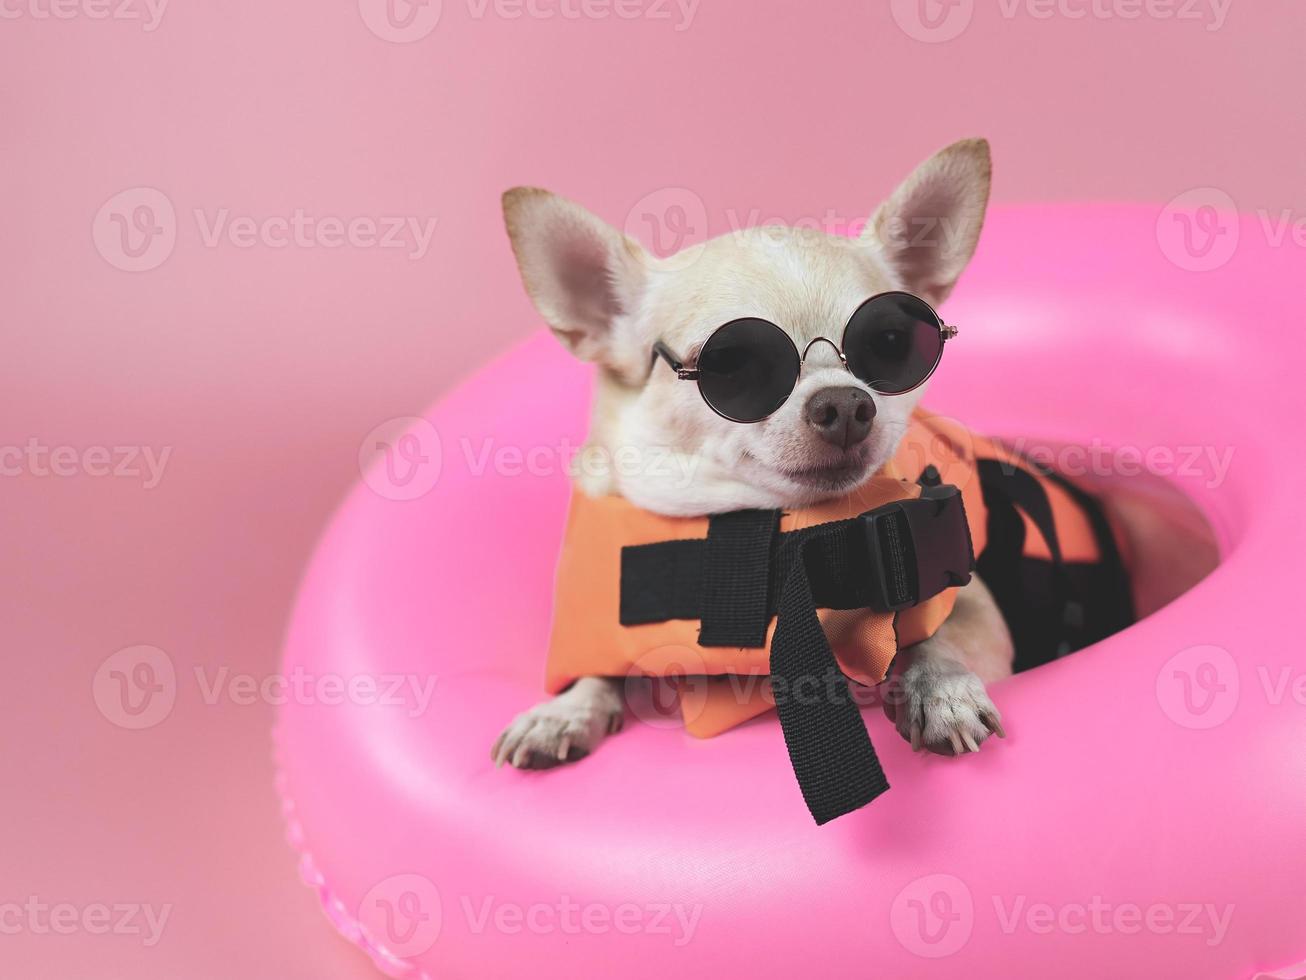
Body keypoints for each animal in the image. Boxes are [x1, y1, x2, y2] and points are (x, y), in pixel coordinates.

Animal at [491, 136, 1008, 768]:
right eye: (733, 366)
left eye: (889, 345)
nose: (846, 404)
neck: (750, 520)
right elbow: (600, 664)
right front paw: (565, 710)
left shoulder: (986, 616)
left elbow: (944, 630)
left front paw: (940, 688)